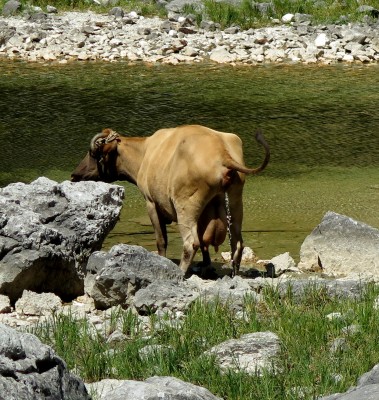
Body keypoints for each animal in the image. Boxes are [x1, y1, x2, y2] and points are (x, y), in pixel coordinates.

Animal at [72, 123, 270, 276]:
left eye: (93, 154)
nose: (74, 175)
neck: (144, 154)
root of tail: (222, 153)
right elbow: (205, 243)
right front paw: (206, 266)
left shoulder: (151, 202)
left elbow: (162, 240)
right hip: (235, 204)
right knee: (237, 244)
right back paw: (234, 273)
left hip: (185, 207)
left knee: (191, 243)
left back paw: (180, 272)